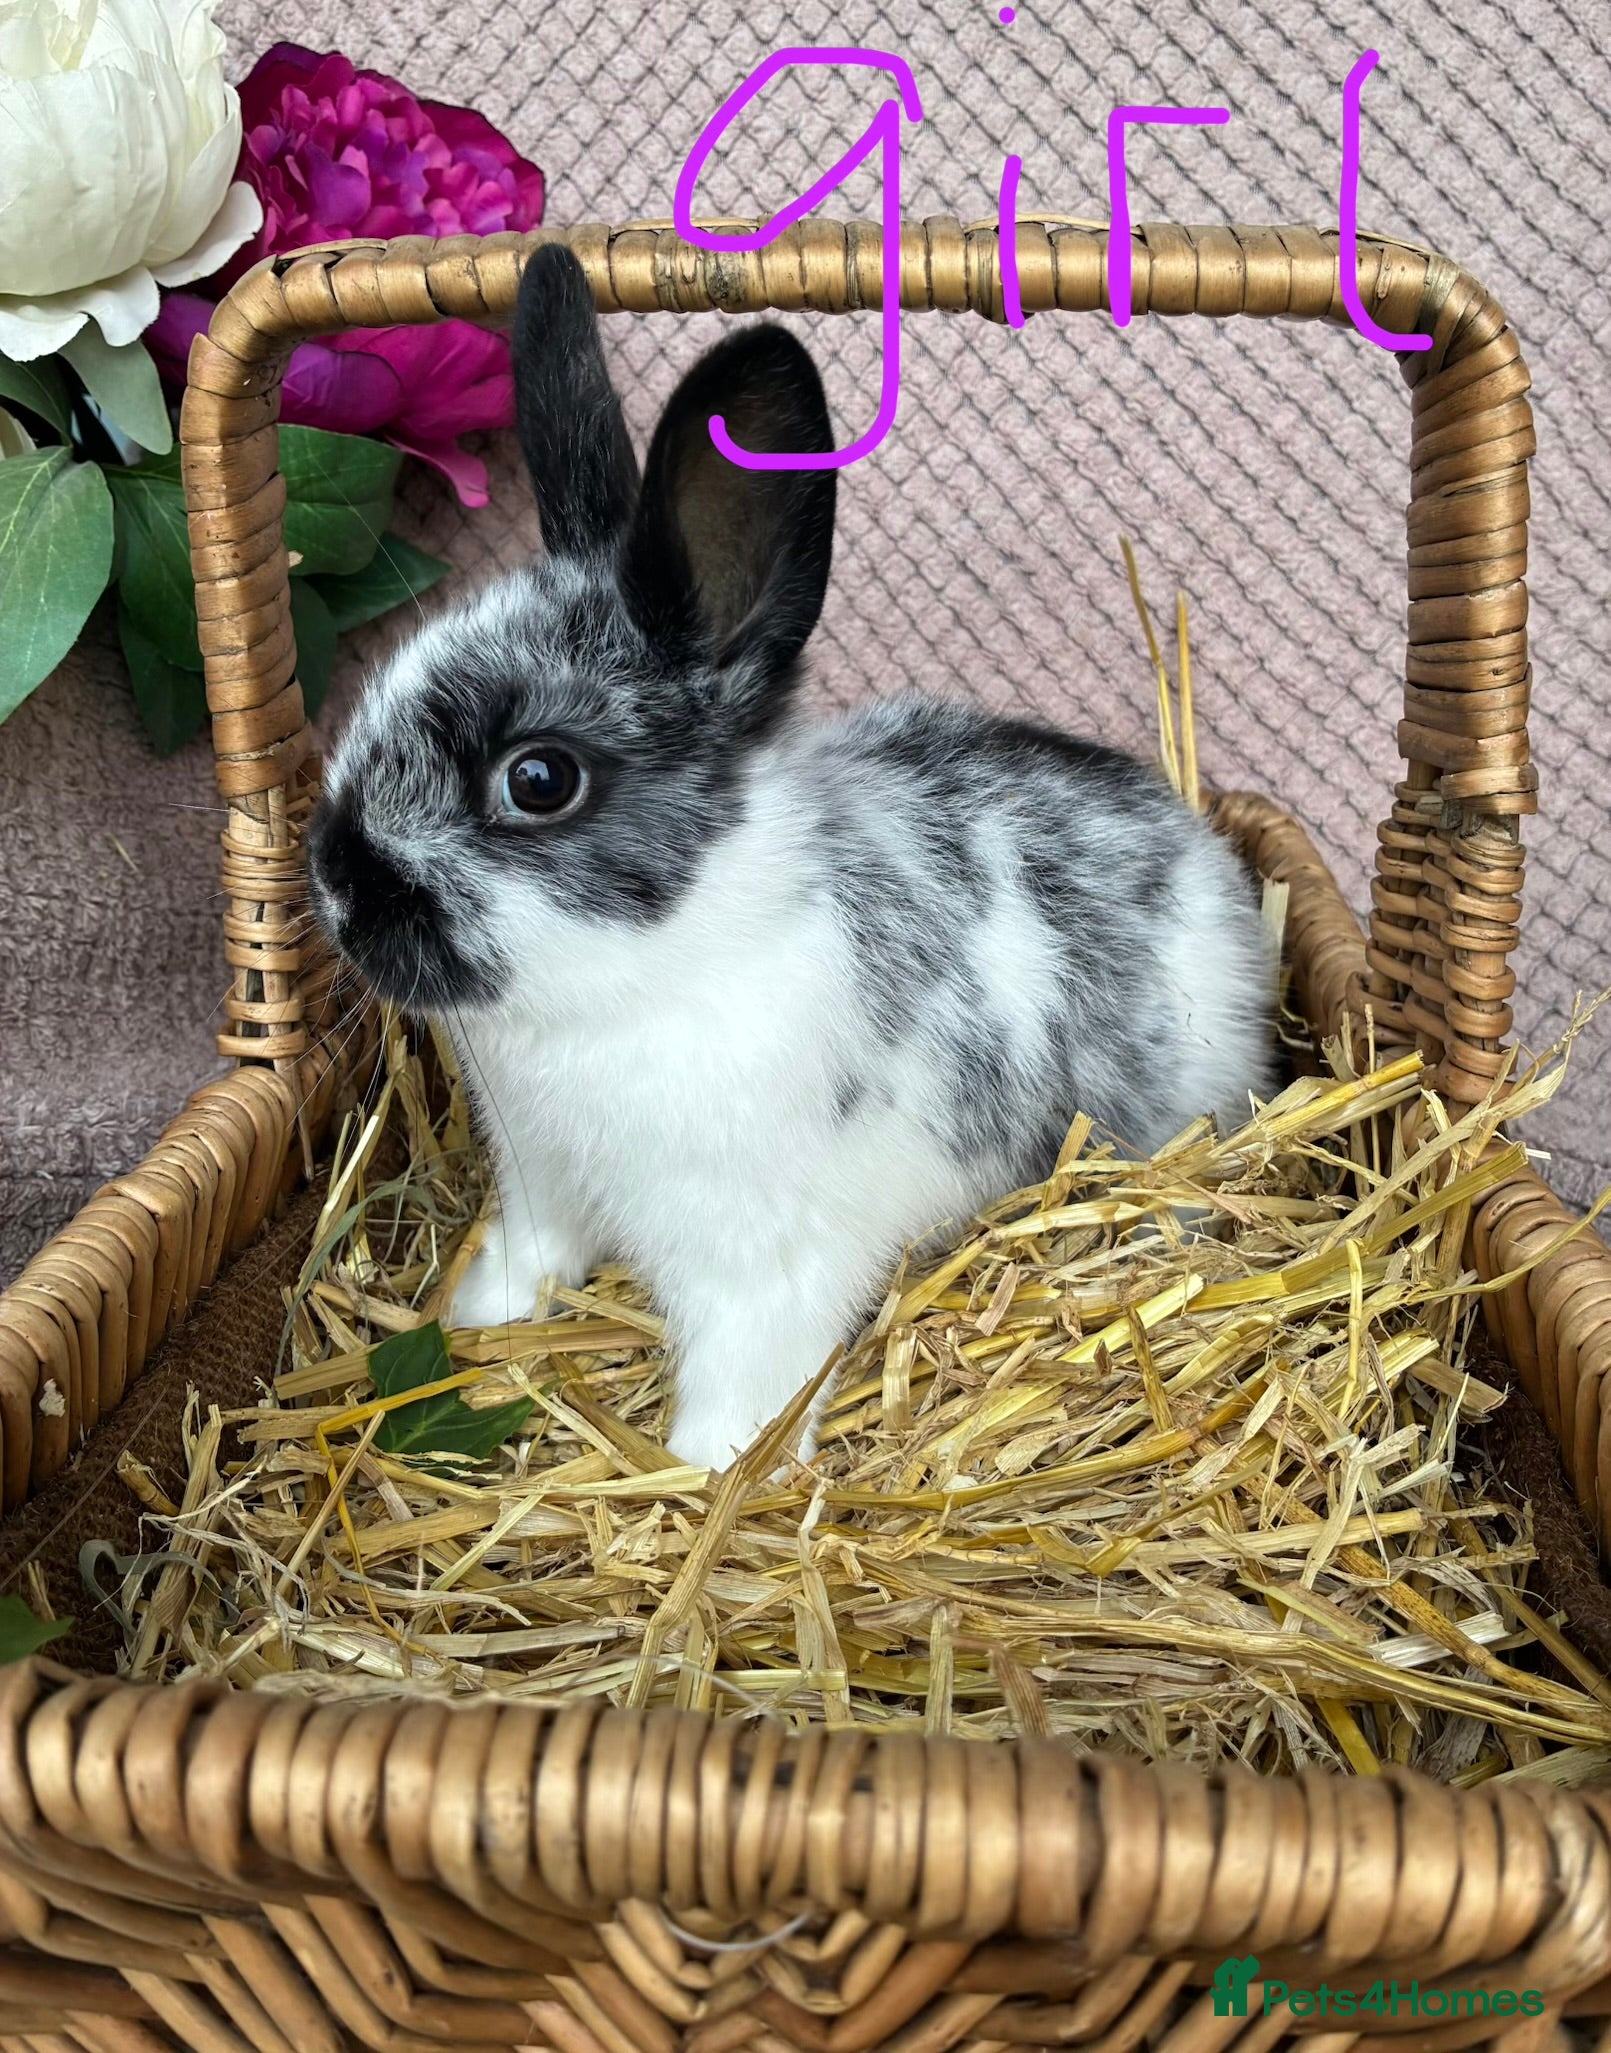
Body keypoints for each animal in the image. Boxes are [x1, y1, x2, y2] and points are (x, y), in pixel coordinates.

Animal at [306, 241, 1277, 1474]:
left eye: (538, 779)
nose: (339, 889)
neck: (646, 978)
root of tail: (1204, 851)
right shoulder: (540, 1177)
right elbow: (534, 1253)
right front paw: (485, 1315)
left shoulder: (757, 1267)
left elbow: (744, 1374)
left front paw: (706, 1468)